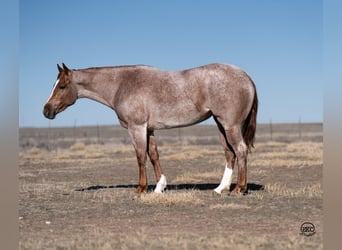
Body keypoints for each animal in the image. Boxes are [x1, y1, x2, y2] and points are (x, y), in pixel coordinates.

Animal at [43, 62, 256, 193]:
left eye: (62, 86)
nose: (46, 110)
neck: (122, 84)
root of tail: (246, 77)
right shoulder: (149, 129)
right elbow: (153, 155)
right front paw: (159, 187)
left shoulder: (136, 128)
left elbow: (140, 157)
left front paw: (141, 188)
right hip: (221, 125)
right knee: (230, 154)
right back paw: (221, 188)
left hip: (230, 125)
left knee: (240, 150)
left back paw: (239, 188)